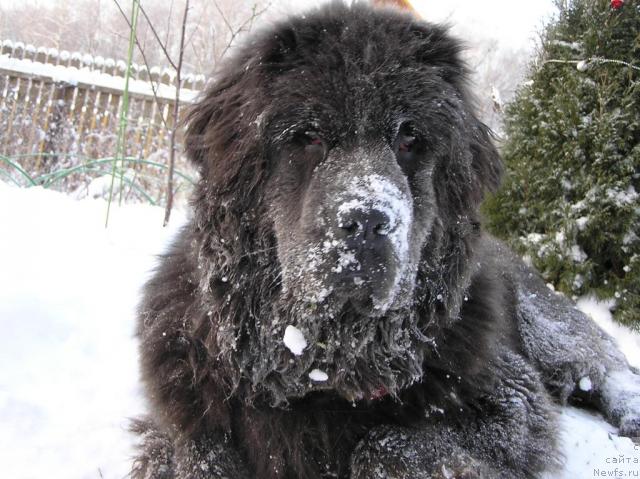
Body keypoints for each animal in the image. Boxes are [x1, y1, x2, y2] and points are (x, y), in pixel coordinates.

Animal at [131, 1, 640, 478]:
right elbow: (200, 450)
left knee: (600, 367)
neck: (325, 365)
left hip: (544, 326)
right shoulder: (183, 413)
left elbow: (386, 443)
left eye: (409, 140)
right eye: (309, 136)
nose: (368, 220)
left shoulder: (512, 401)